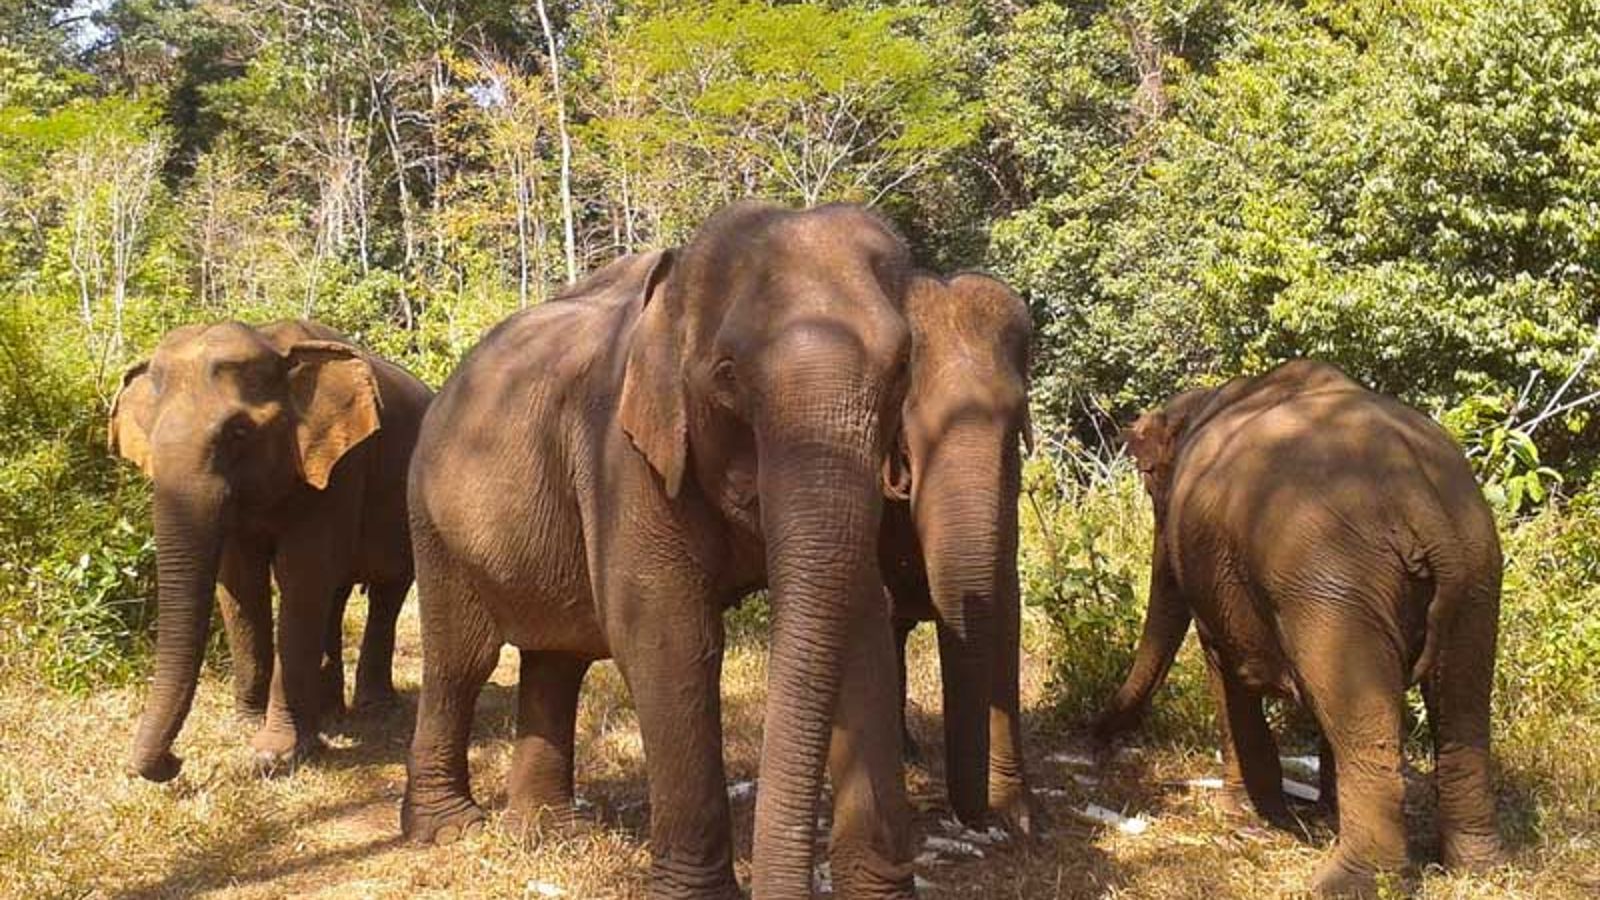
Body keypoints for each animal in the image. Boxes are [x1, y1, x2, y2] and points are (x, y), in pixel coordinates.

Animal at [110, 320, 433, 782]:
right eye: (149, 438)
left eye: (238, 433)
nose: (175, 762)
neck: (274, 344)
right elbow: (241, 583)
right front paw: (247, 722)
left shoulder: (339, 465)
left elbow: (302, 574)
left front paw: (273, 753)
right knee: (334, 596)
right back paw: (330, 715)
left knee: (387, 589)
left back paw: (374, 710)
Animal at [403, 201, 918, 899]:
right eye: (727, 374)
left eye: (903, 367)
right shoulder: (621, 454)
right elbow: (668, 636)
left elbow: (862, 626)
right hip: (431, 521)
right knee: (461, 660)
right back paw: (450, 831)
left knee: (556, 657)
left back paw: (547, 834)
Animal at [1093, 360, 1506, 896]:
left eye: (1148, 483)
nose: (1096, 738)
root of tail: (1423, 501)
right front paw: (1317, 812)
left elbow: (1224, 664)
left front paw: (1246, 819)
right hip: (1474, 574)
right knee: (1460, 706)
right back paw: (1478, 867)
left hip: (1333, 582)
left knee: (1360, 712)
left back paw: (1345, 882)